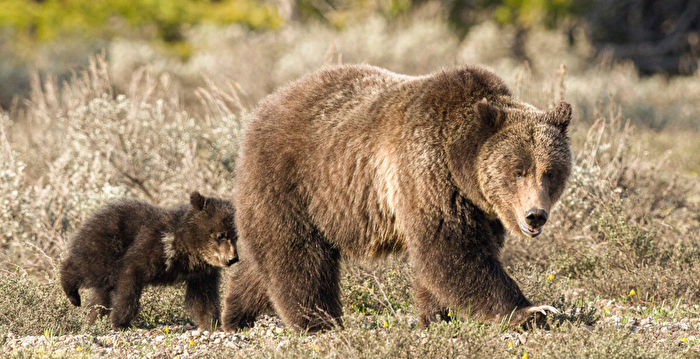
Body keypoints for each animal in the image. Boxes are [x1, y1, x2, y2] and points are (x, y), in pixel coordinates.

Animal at [58, 193, 238, 330]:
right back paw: (73, 294)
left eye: (235, 236)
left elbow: (204, 298)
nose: (233, 258)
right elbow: (129, 282)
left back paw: (93, 319)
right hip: (108, 247)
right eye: (221, 235)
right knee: (88, 268)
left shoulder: (201, 273)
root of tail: (94, 215)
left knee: (101, 296)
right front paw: (119, 321)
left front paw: (211, 323)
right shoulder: (151, 247)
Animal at [221, 64, 572, 332]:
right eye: (518, 171)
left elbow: (452, 257)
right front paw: (532, 311)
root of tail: (262, 108)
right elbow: (453, 251)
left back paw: (235, 314)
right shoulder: (426, 173)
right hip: (293, 180)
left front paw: (436, 316)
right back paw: (318, 321)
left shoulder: (479, 207)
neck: (460, 165)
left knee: (266, 261)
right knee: (298, 254)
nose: (535, 215)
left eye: (550, 172)